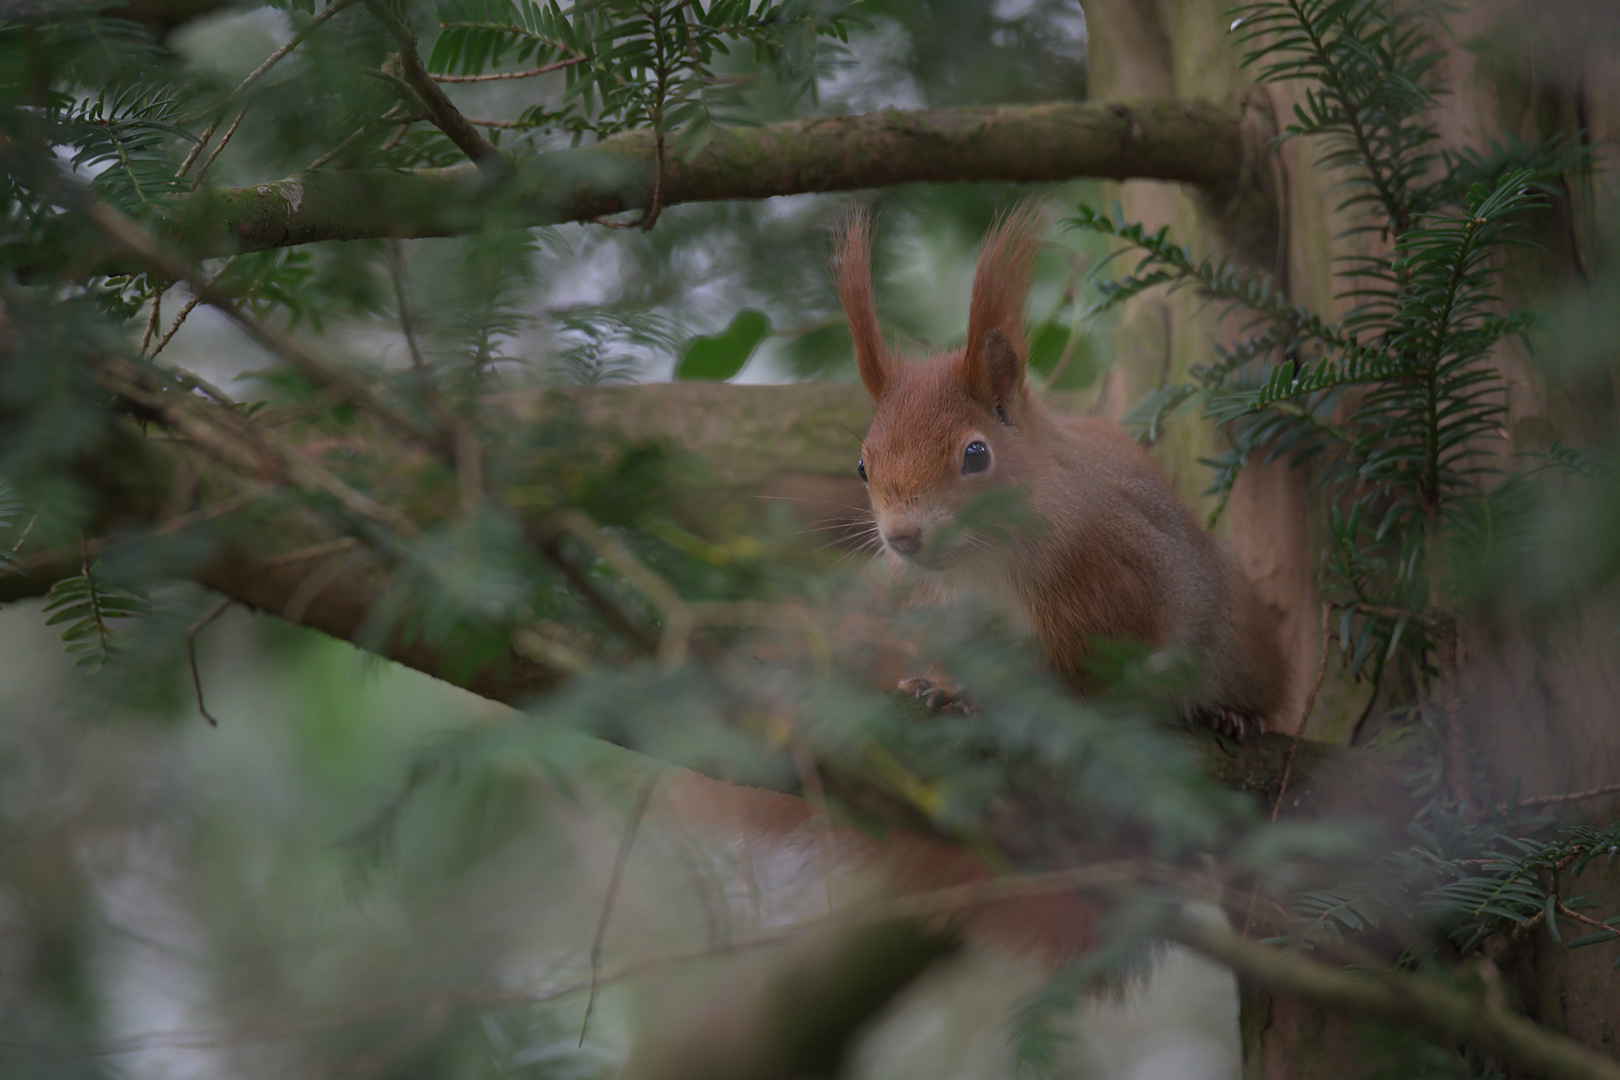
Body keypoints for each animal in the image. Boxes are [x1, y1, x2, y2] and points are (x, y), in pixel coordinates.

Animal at [835, 204, 1289, 735]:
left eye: (976, 454)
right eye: (862, 467)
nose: (901, 537)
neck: (981, 564)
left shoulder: (1110, 581)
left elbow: (1082, 673)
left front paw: (983, 695)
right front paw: (936, 683)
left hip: (1235, 631)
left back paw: (1234, 712)